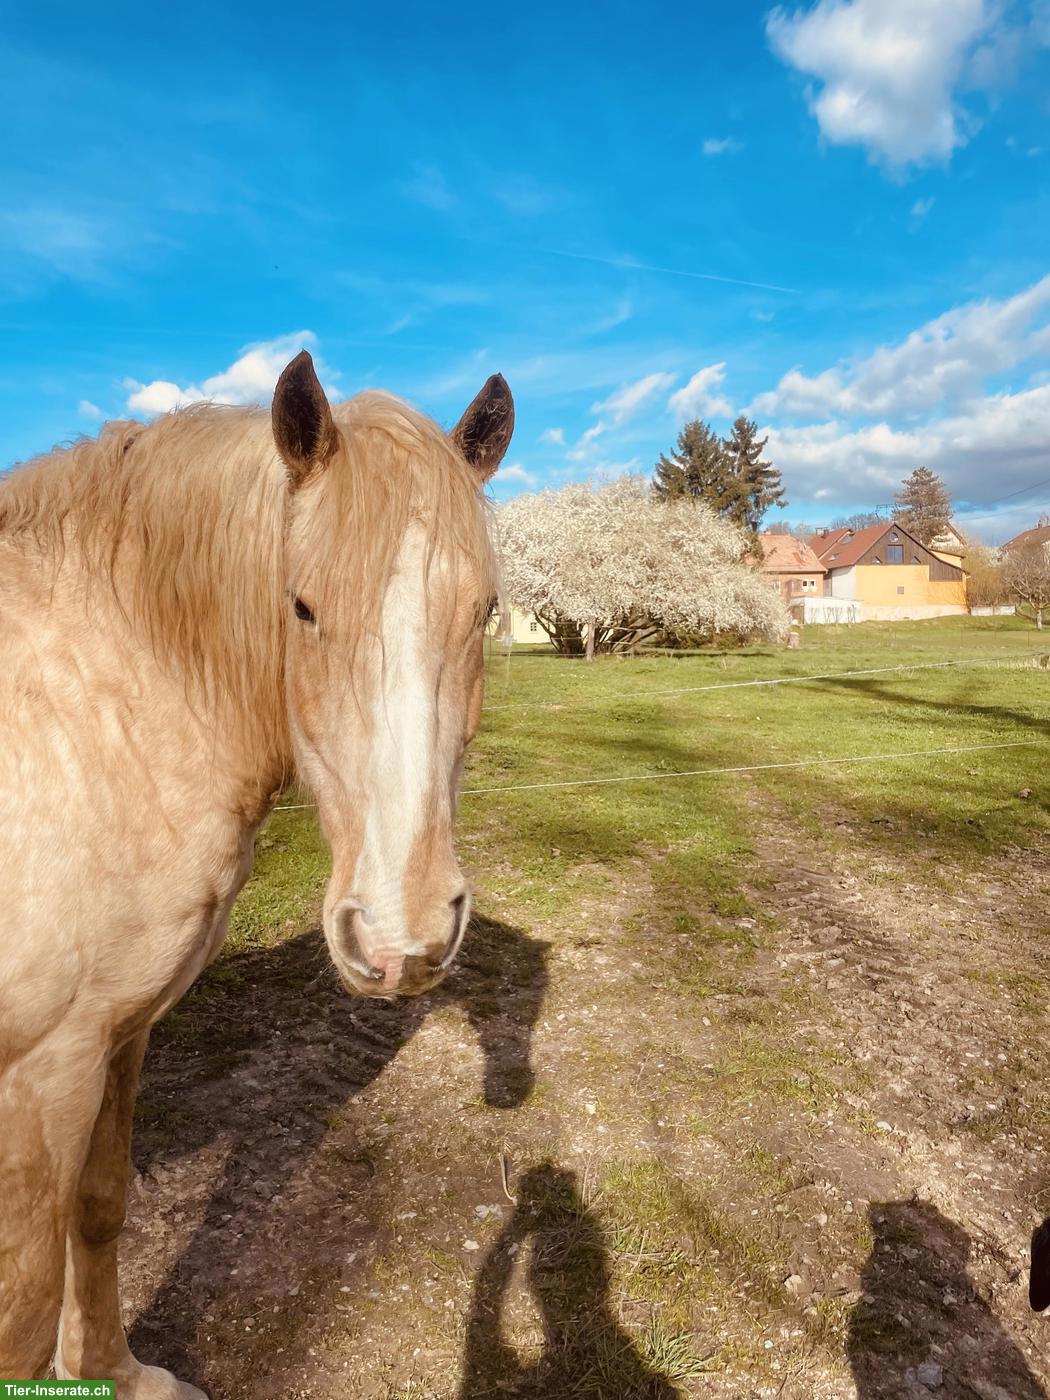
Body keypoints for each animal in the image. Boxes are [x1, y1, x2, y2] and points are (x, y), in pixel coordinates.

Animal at [0, 351, 513, 1398]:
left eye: (483, 611)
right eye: (303, 607)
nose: (403, 934)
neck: (105, 700)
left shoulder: (112, 1038)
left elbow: (100, 1211)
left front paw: (115, 1374)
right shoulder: (40, 1074)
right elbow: (22, 1316)